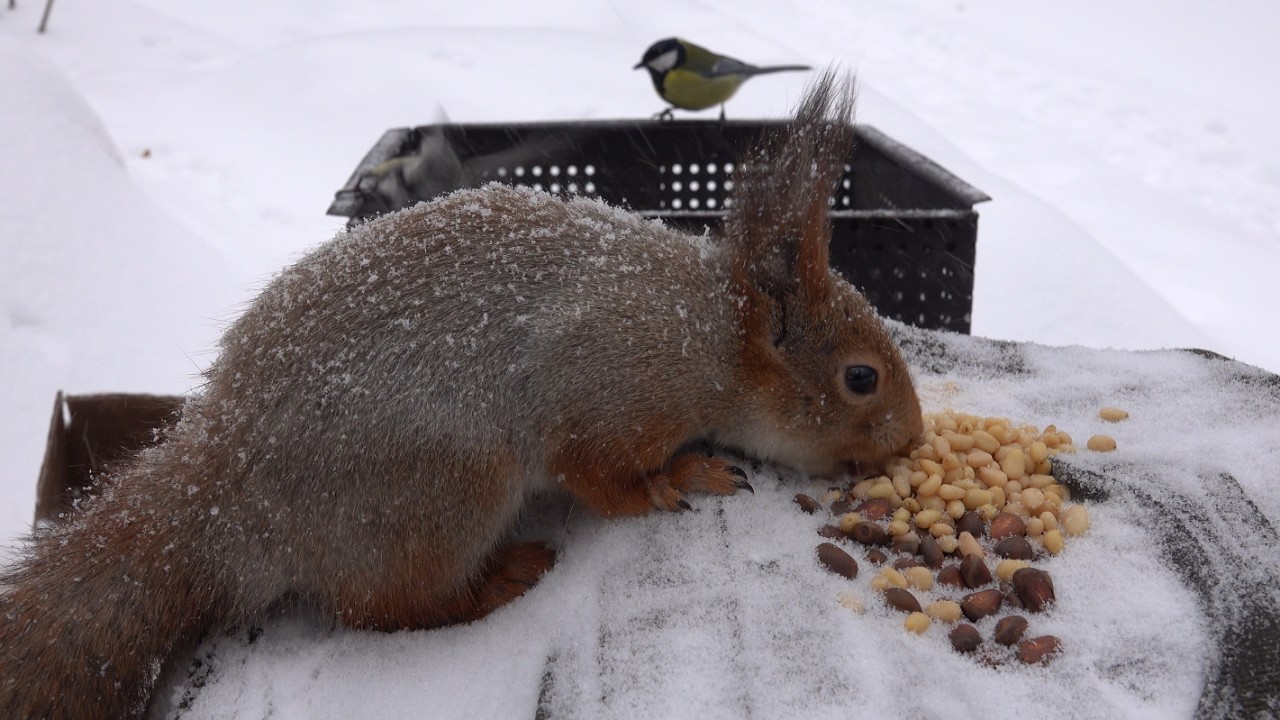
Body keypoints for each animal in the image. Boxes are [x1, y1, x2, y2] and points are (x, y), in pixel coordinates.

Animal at [0, 71, 922, 719]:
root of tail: (227, 501)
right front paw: (680, 479)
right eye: (861, 378)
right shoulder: (611, 380)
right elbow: (597, 473)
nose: (912, 439)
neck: (713, 337)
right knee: (386, 609)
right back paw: (503, 577)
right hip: (445, 493)